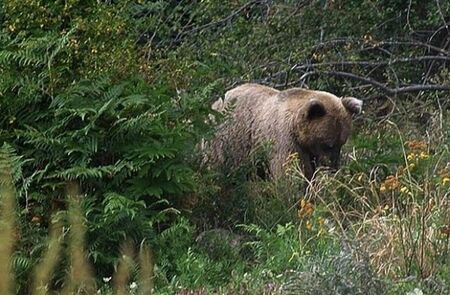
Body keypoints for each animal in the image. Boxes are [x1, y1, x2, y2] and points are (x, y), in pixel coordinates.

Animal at [208, 83, 362, 180]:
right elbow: (288, 173)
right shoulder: (284, 140)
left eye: (341, 143)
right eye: (328, 144)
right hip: (227, 142)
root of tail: (214, 105)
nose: (333, 167)